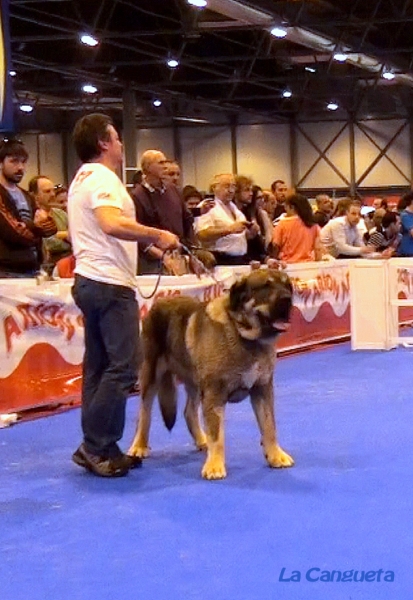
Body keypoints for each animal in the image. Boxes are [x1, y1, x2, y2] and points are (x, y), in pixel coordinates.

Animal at [129, 270, 292, 480]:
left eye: (288, 286)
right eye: (266, 286)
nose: (288, 299)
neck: (242, 333)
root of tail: (158, 303)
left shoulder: (262, 389)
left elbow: (269, 425)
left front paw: (275, 455)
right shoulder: (215, 393)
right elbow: (217, 435)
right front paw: (214, 465)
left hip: (195, 382)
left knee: (189, 412)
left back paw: (201, 440)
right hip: (151, 373)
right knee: (144, 413)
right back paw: (139, 446)